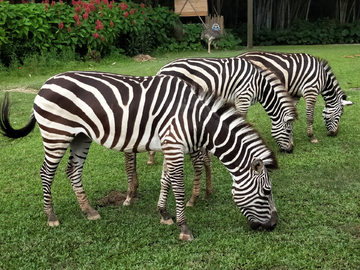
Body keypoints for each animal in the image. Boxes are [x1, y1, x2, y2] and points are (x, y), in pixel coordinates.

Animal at [0, 71, 278, 240]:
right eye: (266, 192)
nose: (274, 226)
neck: (196, 119)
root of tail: (47, 82)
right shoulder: (174, 145)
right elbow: (178, 187)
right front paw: (184, 228)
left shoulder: (170, 146)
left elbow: (166, 181)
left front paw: (164, 214)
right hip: (56, 133)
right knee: (46, 173)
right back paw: (51, 216)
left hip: (80, 135)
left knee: (73, 170)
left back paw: (89, 211)